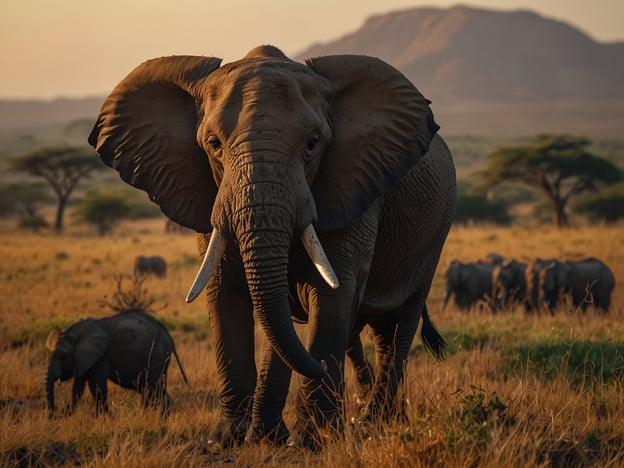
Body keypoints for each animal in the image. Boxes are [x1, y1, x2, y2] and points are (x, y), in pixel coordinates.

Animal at [44, 308, 188, 414]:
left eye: (63, 356)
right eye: (47, 353)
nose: (54, 411)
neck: (73, 333)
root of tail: (166, 332)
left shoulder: (102, 356)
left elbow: (97, 386)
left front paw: (104, 418)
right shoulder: (83, 358)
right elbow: (78, 387)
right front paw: (66, 414)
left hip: (157, 354)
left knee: (152, 388)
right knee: (152, 390)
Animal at [88, 44, 456, 450]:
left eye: (313, 143)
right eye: (213, 144)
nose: (320, 367)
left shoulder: (352, 189)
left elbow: (330, 297)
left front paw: (311, 440)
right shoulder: (211, 198)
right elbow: (226, 296)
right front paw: (233, 439)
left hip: (434, 236)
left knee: (396, 328)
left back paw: (375, 424)